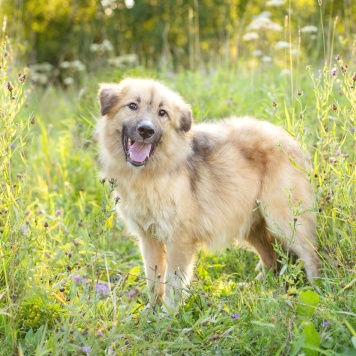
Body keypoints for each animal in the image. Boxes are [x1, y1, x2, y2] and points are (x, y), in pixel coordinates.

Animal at [96, 78, 322, 312]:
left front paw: (168, 314)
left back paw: (319, 292)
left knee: (311, 256)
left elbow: (172, 282)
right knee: (272, 260)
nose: (146, 130)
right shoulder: (149, 238)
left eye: (162, 113)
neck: (151, 173)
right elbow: (153, 279)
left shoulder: (179, 240)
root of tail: (290, 140)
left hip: (284, 222)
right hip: (253, 225)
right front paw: (151, 311)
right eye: (132, 105)